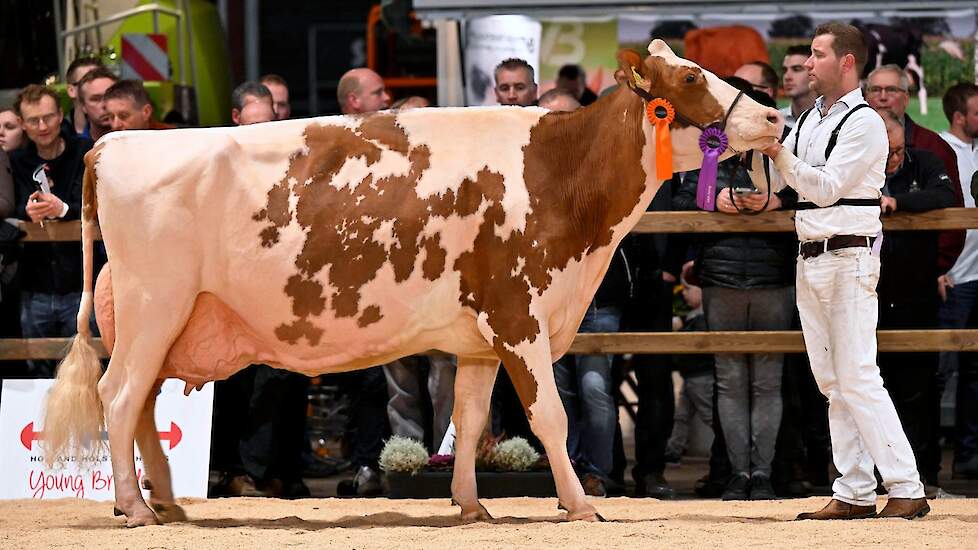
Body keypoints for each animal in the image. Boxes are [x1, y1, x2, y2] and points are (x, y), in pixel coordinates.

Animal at [43, 41, 776, 528]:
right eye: (691, 74)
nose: (772, 117)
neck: (557, 176)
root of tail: (113, 144)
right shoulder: (519, 314)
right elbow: (551, 416)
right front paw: (580, 505)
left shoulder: (484, 334)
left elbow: (471, 418)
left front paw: (472, 505)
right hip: (153, 304)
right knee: (119, 395)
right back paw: (135, 507)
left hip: (167, 319)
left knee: (142, 404)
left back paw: (167, 503)